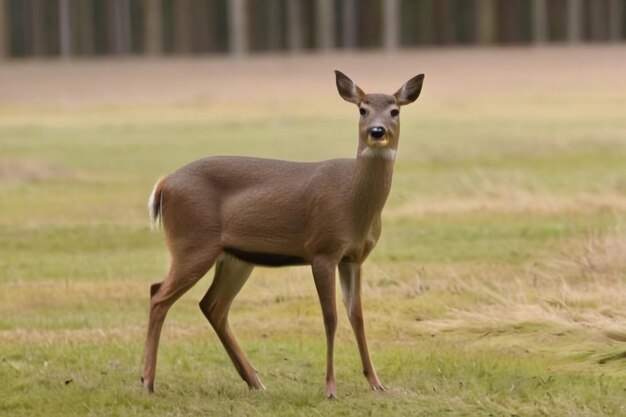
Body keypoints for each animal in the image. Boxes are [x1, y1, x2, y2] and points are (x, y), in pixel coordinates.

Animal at [141, 70, 424, 398]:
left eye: (395, 111)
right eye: (362, 109)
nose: (377, 132)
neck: (352, 203)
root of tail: (164, 184)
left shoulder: (354, 257)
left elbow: (357, 315)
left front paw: (376, 383)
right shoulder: (322, 249)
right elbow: (330, 317)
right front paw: (330, 388)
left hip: (235, 258)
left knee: (211, 305)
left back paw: (255, 381)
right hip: (193, 243)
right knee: (159, 295)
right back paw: (147, 380)